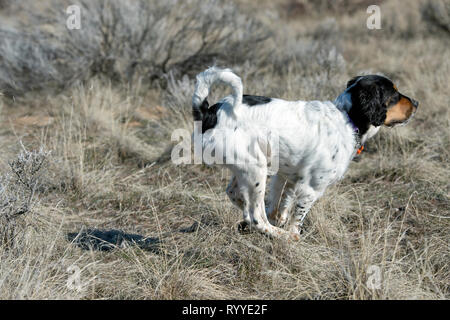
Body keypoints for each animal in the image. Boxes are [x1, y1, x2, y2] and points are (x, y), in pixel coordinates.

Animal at [191, 66, 418, 239]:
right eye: (394, 94)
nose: (416, 103)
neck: (346, 117)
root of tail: (209, 112)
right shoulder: (312, 188)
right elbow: (298, 217)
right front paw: (293, 233)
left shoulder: (288, 175)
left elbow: (282, 202)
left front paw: (279, 217)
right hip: (256, 169)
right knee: (256, 217)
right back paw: (281, 236)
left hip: (246, 167)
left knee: (236, 196)